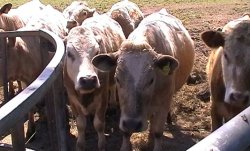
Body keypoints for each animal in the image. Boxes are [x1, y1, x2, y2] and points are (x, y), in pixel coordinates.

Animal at [62, 13, 125, 150]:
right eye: (69, 53)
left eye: (97, 51)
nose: (88, 80)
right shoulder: (72, 98)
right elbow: (80, 124)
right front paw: (80, 144)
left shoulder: (102, 97)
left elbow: (99, 124)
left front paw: (102, 144)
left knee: (112, 86)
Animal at [92, 8, 195, 150]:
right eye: (117, 79)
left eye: (151, 80)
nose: (132, 124)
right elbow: (126, 132)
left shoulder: (162, 105)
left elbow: (158, 132)